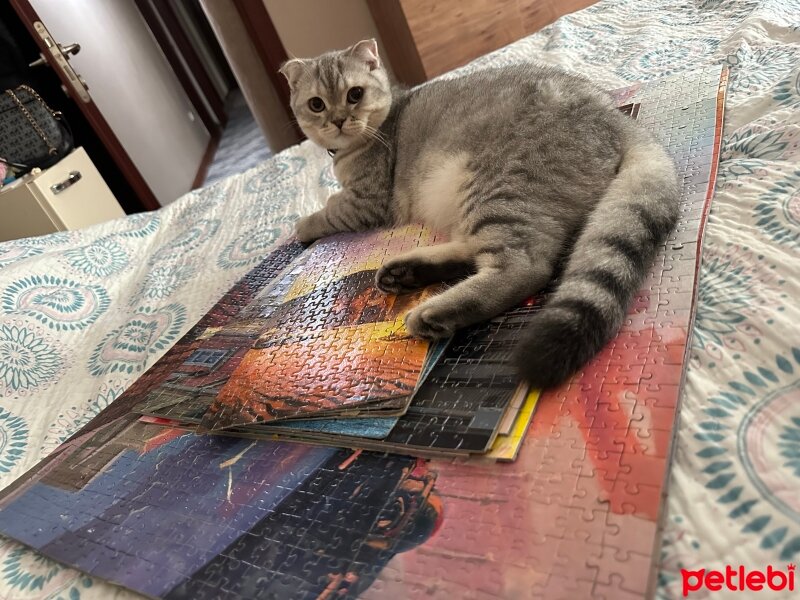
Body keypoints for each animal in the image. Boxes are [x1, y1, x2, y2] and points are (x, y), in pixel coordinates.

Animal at [278, 39, 680, 386]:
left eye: (355, 94)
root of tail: (615, 116)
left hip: (498, 188)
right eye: (316, 104)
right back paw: (406, 272)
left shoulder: (365, 201)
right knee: (472, 252)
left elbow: (328, 211)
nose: (338, 120)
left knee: (523, 267)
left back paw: (433, 312)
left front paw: (301, 226)